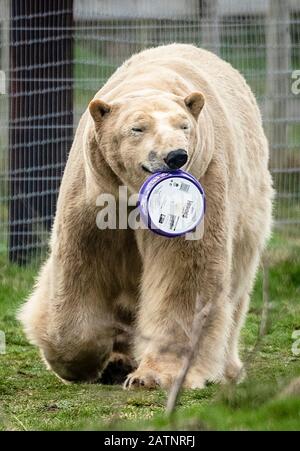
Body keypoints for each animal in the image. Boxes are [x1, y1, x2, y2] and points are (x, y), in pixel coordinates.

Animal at [17, 44, 274, 388]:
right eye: (137, 128)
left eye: (184, 126)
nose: (176, 156)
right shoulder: (94, 194)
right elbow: (80, 267)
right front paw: (77, 361)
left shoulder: (206, 177)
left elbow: (184, 273)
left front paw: (156, 375)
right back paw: (117, 360)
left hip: (249, 205)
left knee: (235, 288)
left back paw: (227, 369)